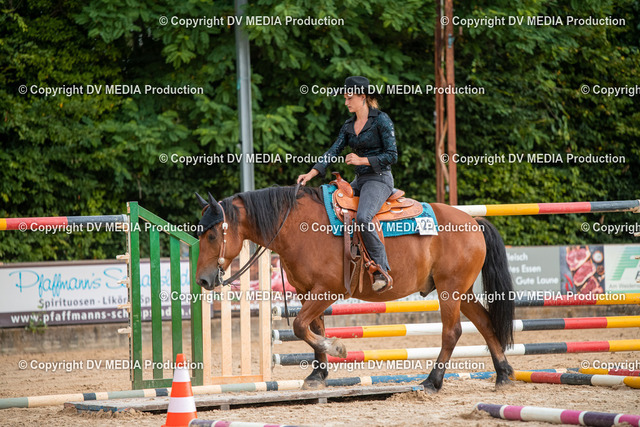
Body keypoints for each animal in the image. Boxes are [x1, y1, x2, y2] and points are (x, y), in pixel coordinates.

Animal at [194, 185, 515, 392]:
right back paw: (503, 374)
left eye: (212, 235)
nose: (202, 280)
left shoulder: (329, 290)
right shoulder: (308, 291)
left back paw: (432, 382)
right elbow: (313, 327)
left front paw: (336, 347)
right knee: (485, 323)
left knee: (452, 332)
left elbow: (300, 326)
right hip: (462, 291)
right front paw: (318, 374)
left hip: (450, 290)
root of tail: (472, 221)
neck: (298, 228)